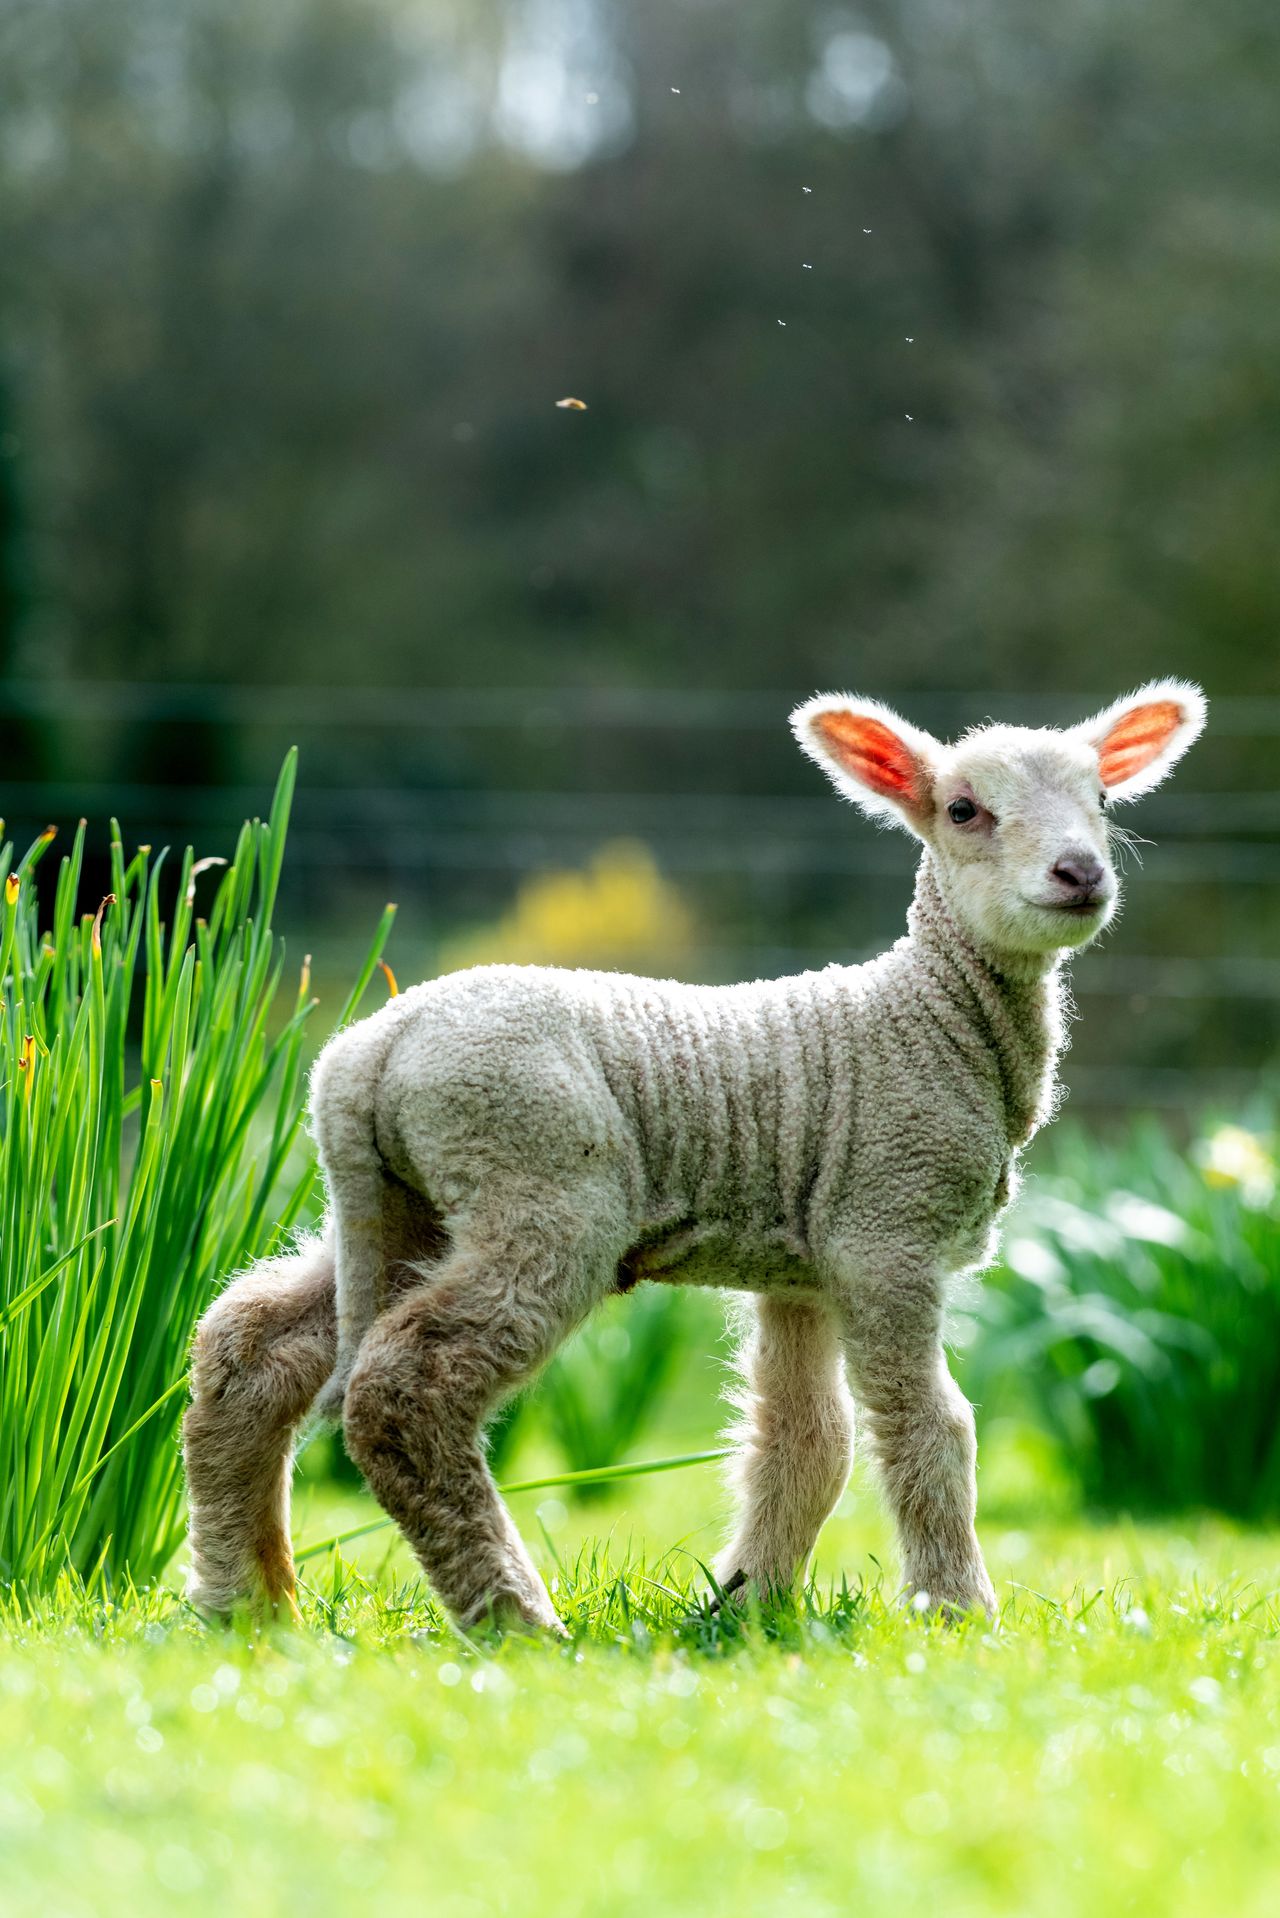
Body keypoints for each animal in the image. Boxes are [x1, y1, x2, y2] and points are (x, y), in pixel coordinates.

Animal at [182, 682, 1212, 1626]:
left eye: (1104, 800)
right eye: (964, 810)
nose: (1080, 873)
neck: (925, 1018)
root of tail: (370, 1052)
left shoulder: (804, 1266)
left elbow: (806, 1442)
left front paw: (750, 1607)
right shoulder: (888, 1228)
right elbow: (927, 1425)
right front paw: (956, 1612)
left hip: (401, 1207)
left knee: (251, 1342)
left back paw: (246, 1604)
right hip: (540, 1184)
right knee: (407, 1386)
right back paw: (515, 1617)